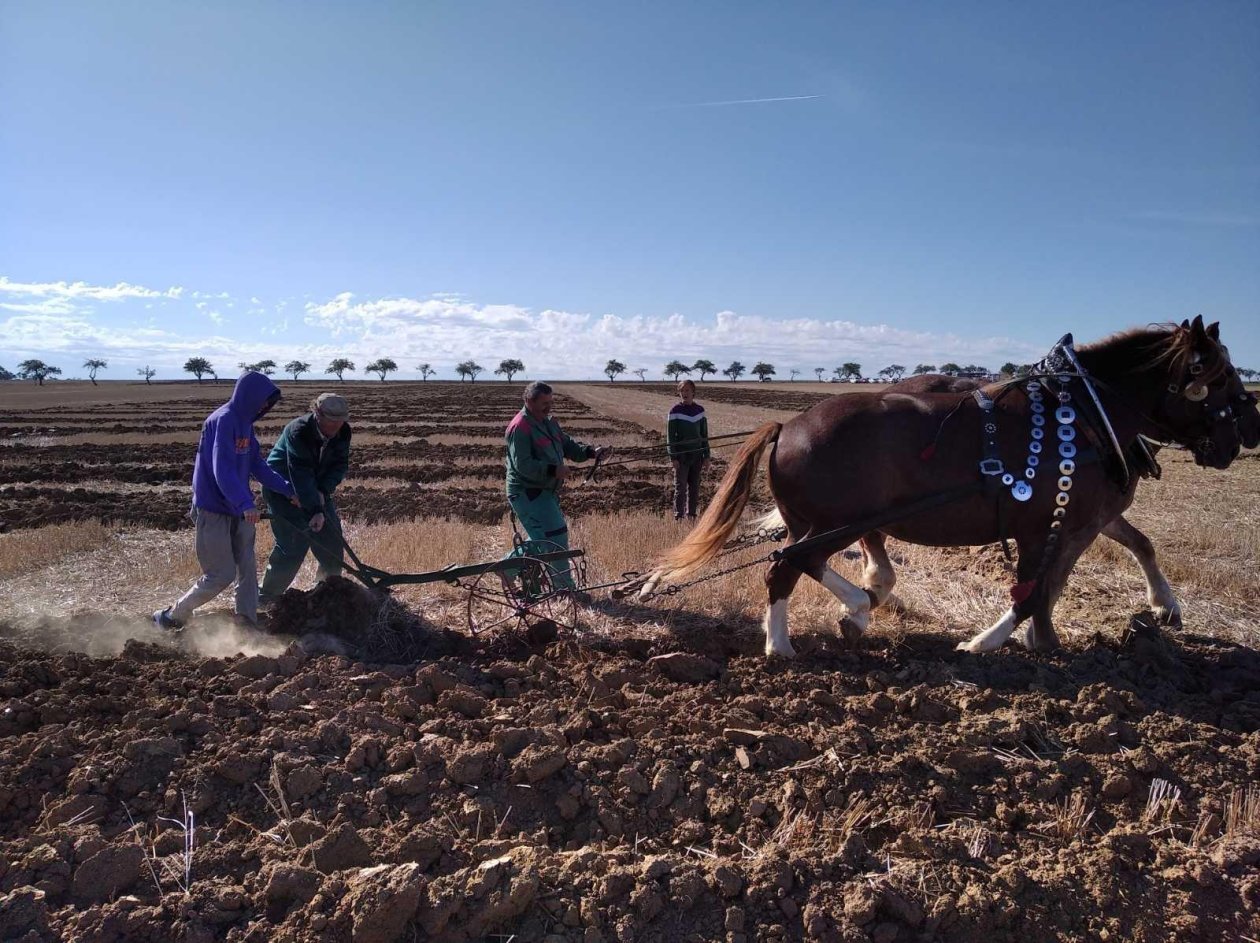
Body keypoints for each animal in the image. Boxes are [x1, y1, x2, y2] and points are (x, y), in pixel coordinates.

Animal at [856, 360, 1260, 632]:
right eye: (1222, 384)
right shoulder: (1085, 517)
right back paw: (877, 590)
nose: (1245, 439)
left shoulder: (1100, 513)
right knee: (870, 536)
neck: (1098, 421)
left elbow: (1141, 544)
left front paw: (1166, 605)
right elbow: (1059, 574)